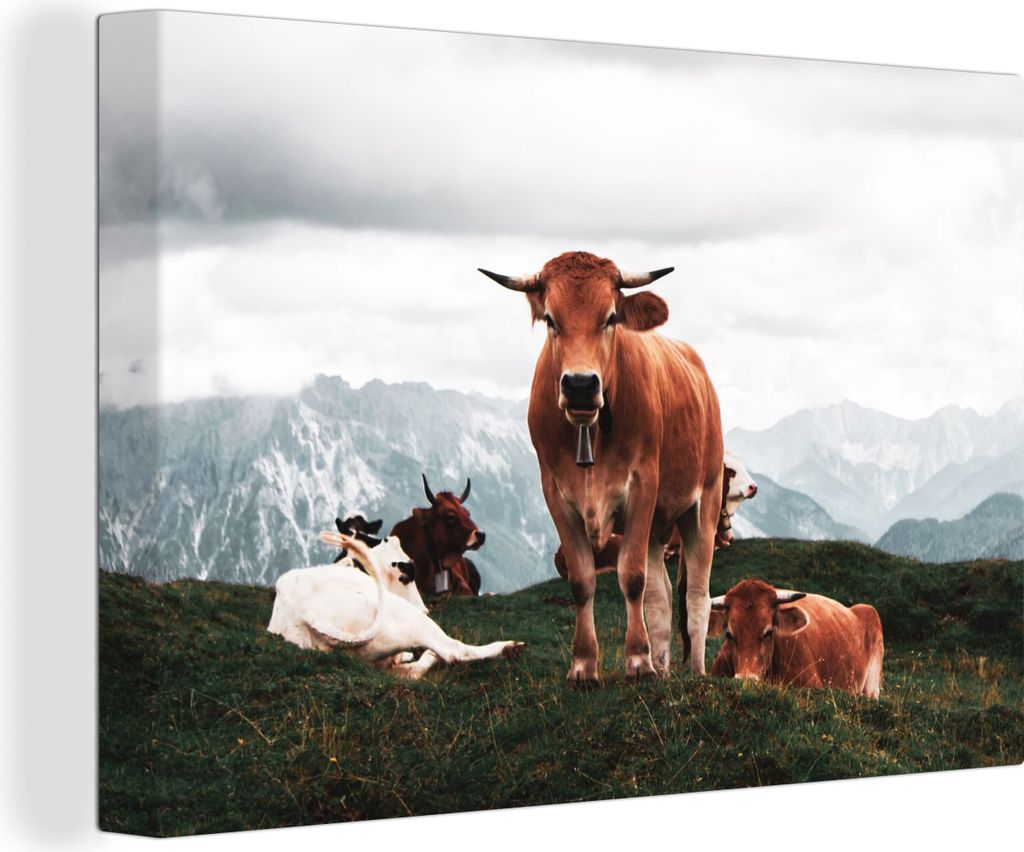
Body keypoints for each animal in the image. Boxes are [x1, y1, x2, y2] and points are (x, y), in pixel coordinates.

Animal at [267, 533, 523, 678]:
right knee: (453, 651)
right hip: (413, 621)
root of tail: (307, 612)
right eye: (408, 573)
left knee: (413, 671)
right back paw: (509, 647)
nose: (425, 609)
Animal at [480, 251, 724, 684]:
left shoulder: (643, 485)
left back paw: (693, 669)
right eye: (550, 319)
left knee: (696, 591)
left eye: (610, 317)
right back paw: (663, 664)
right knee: (661, 594)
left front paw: (638, 663)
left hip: (704, 502)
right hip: (657, 526)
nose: (580, 385)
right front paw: (584, 665)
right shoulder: (555, 493)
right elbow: (583, 580)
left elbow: (631, 577)